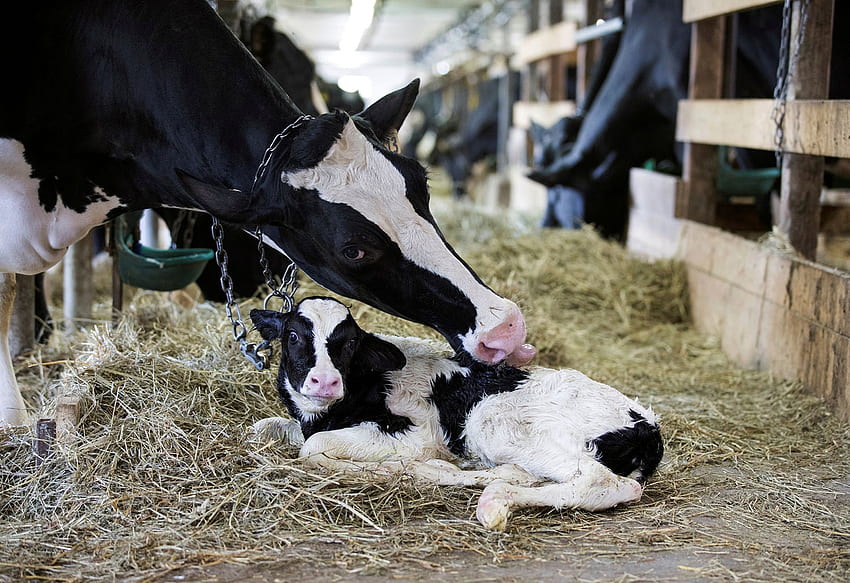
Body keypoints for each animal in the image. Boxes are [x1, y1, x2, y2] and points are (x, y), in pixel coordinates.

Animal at [249, 297, 664, 531]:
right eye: (292, 336)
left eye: (349, 342)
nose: (324, 381)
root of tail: (647, 425)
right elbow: (267, 427)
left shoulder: (413, 434)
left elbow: (312, 448)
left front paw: (394, 469)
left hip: (495, 421)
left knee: (603, 482)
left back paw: (493, 498)